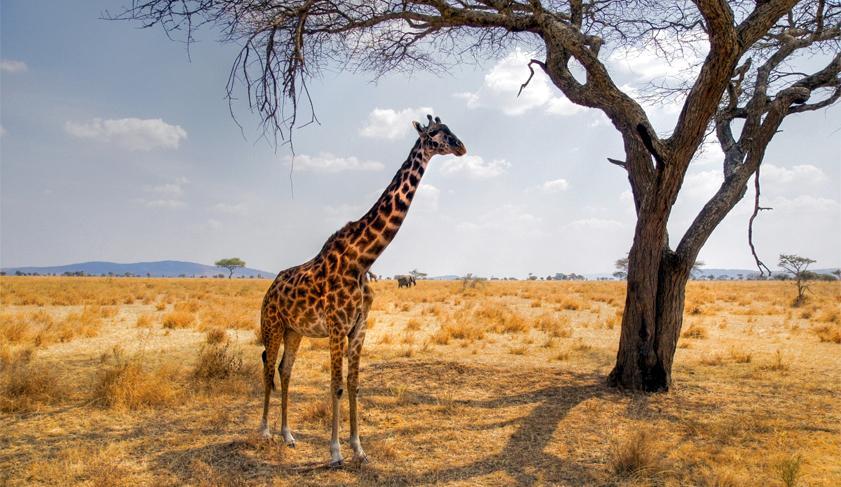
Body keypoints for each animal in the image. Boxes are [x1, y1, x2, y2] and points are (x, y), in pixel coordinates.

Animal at [258, 115, 466, 468]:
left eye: (451, 130)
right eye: (435, 134)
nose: (462, 147)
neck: (362, 260)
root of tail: (270, 290)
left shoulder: (359, 327)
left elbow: (354, 385)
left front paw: (358, 449)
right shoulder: (337, 327)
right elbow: (336, 386)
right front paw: (335, 452)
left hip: (293, 330)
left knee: (285, 370)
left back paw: (288, 435)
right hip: (272, 325)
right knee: (268, 366)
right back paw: (264, 431)